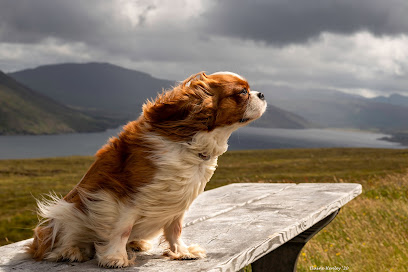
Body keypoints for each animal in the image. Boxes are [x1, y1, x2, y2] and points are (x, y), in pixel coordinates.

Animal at [26, 70, 268, 268]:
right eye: (242, 92)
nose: (262, 94)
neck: (189, 142)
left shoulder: (178, 201)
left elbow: (175, 230)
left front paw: (181, 252)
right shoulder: (127, 196)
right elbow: (121, 229)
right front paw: (115, 258)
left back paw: (135, 244)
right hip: (64, 212)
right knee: (52, 242)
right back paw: (70, 251)